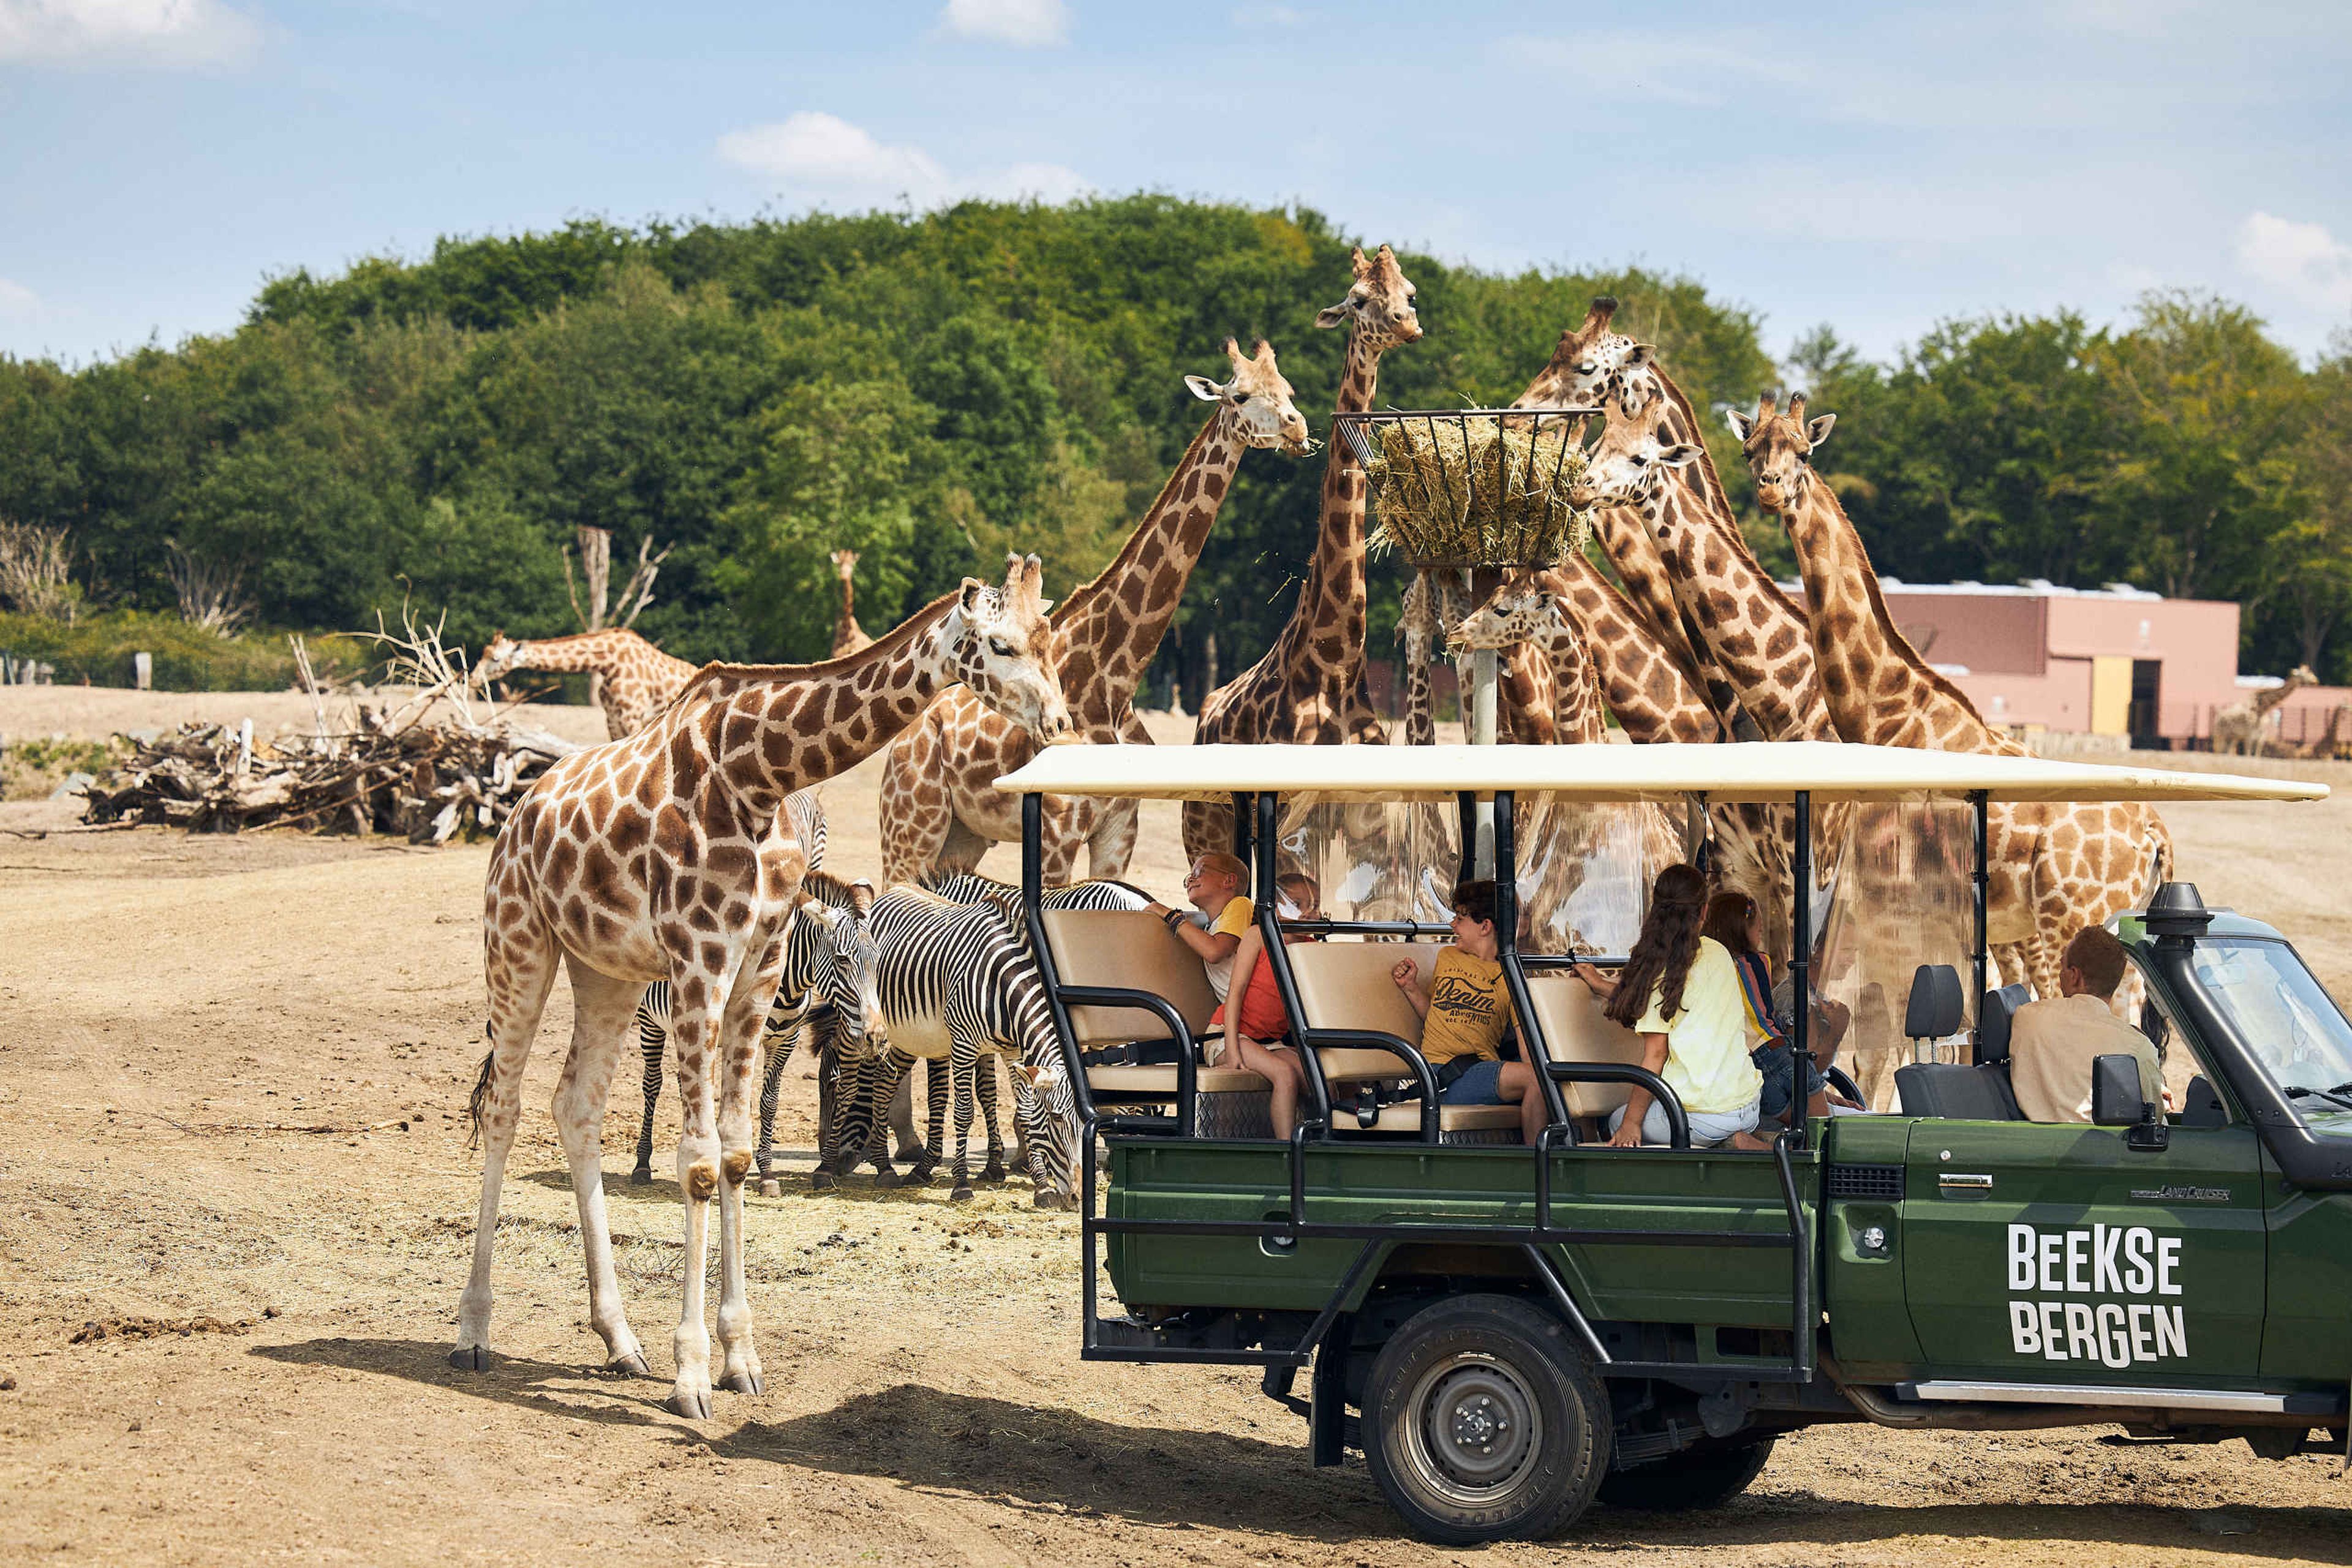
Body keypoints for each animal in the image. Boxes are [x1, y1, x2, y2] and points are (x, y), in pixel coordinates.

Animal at [829, 886, 1080, 1206]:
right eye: (1057, 1119)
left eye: (1085, 1122)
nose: (1076, 1197)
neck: (1002, 983)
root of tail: (892, 890)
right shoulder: (963, 1045)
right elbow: (964, 1113)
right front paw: (961, 1184)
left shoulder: (1013, 1050)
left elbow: (1026, 1114)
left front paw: (1042, 1187)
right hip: (857, 1024)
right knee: (849, 1086)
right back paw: (829, 1167)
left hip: (908, 1037)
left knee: (884, 1086)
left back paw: (885, 1168)